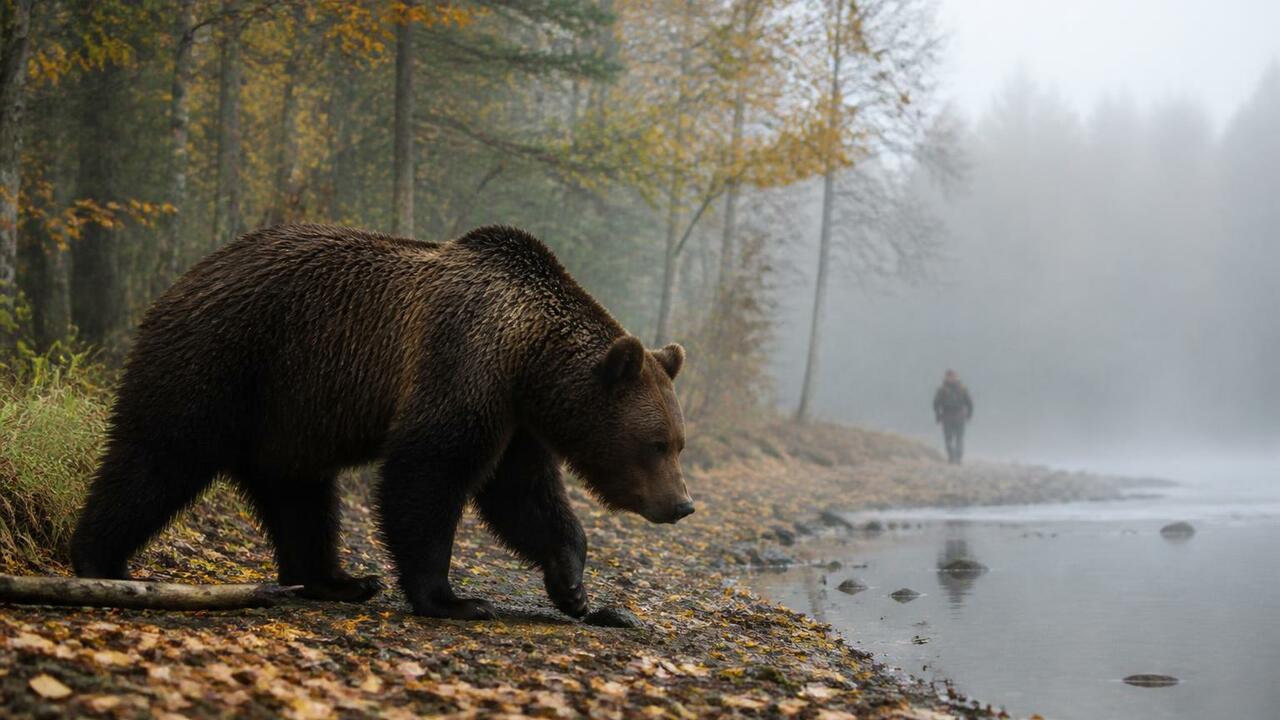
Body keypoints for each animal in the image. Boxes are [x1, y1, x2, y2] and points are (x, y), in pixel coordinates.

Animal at [70, 223, 693, 620]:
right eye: (657, 443)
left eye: (679, 443)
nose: (682, 504)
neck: (528, 355)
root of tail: (181, 280)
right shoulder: (463, 362)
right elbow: (428, 473)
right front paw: (455, 599)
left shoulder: (514, 417)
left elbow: (522, 495)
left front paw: (575, 588)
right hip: (224, 359)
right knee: (158, 456)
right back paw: (100, 560)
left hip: (286, 414)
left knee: (299, 497)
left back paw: (338, 581)